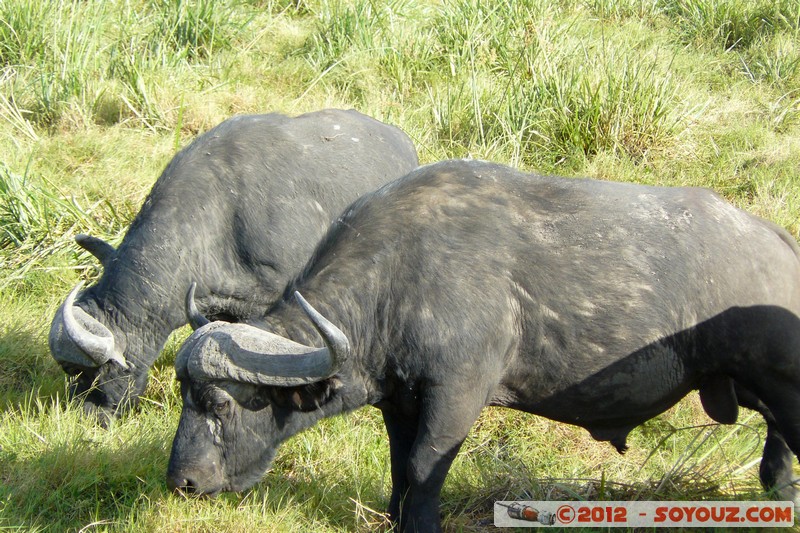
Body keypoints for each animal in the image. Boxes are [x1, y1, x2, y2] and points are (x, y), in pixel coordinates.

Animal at [167, 159, 800, 532]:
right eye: (182, 396)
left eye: (220, 404)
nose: (182, 482)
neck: (398, 278)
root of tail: (774, 239)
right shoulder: (400, 402)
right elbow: (400, 465)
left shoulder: (457, 394)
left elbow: (424, 466)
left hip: (781, 380)